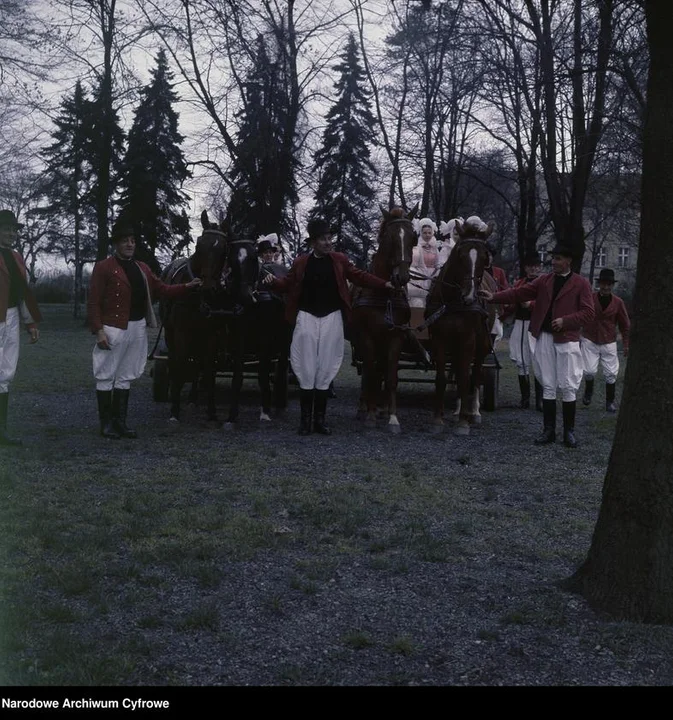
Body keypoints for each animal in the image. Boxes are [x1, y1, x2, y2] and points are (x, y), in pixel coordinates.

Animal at [350, 205, 418, 436]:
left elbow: (391, 377)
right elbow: (370, 374)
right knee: (368, 372)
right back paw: (364, 407)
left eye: (413, 238)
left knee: (380, 370)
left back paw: (380, 407)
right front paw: (370, 416)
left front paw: (392, 417)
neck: (384, 293)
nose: (401, 277)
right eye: (389, 238)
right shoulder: (366, 336)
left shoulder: (395, 336)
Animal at [428, 218, 496, 434]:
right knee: (458, 372)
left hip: (482, 343)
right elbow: (442, 378)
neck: (454, 302)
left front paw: (463, 423)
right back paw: (459, 410)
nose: (470, 295)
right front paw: (437, 419)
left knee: (476, 373)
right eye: (460, 254)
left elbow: (467, 379)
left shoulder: (468, 339)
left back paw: (473, 412)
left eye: (484, 257)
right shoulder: (439, 338)